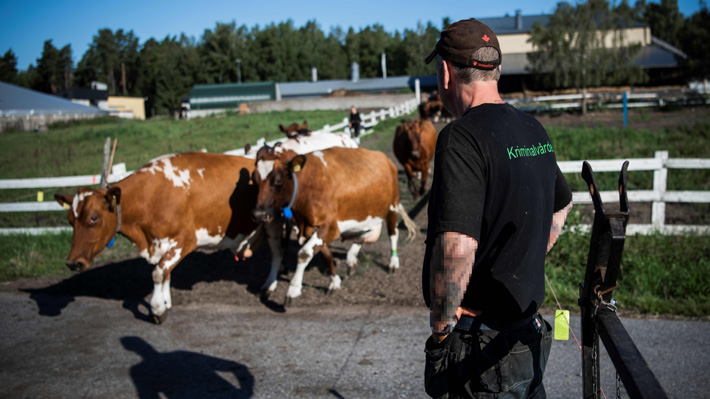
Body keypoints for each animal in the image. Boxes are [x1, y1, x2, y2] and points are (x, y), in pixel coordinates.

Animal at [55, 152, 270, 324]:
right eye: (69, 220)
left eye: (94, 218)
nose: (73, 263)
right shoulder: (161, 244)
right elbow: (165, 272)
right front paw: (166, 302)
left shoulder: (185, 240)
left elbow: (158, 272)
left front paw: (157, 309)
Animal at [253, 147, 418, 306]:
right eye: (254, 178)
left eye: (278, 179)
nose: (259, 214)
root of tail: (385, 158)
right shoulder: (313, 229)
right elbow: (326, 253)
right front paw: (335, 282)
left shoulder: (330, 228)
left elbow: (304, 254)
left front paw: (293, 290)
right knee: (365, 233)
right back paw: (351, 258)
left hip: (392, 207)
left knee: (393, 233)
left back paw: (393, 263)